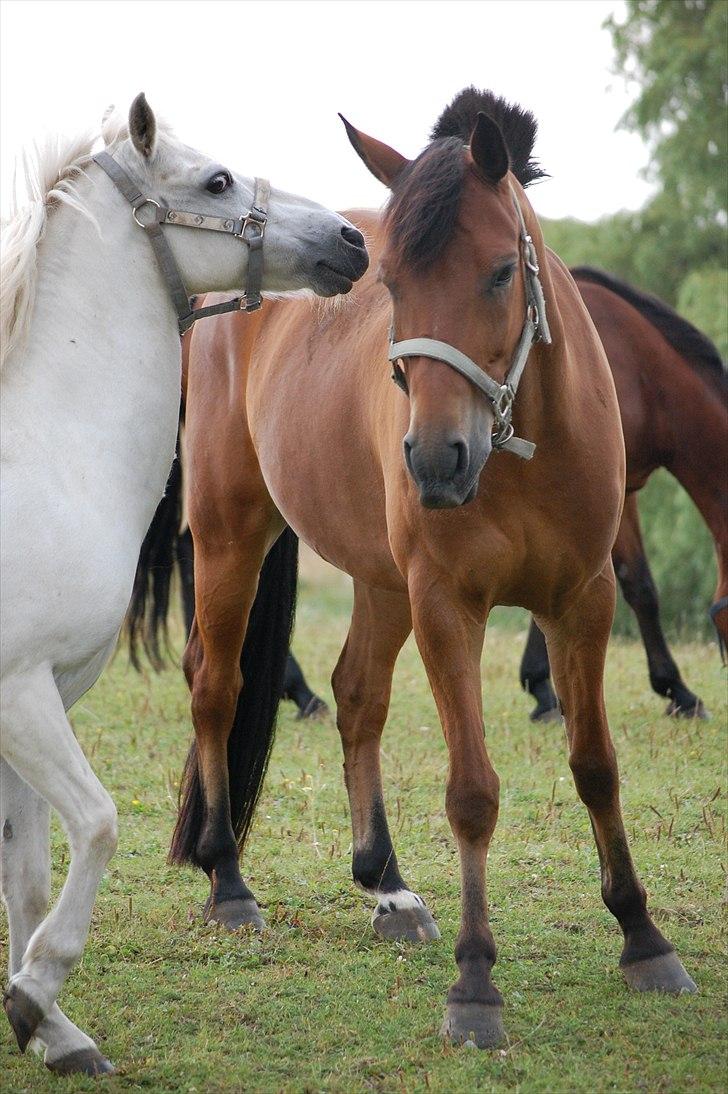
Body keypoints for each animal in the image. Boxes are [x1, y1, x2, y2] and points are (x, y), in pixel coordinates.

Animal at [0, 94, 365, 1076]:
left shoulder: (40, 705)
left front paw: (51, 1028)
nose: (352, 238)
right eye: (216, 180)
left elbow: (29, 874)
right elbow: (97, 825)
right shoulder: (19, 697)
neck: (49, 459)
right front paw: (38, 989)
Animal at [156, 91, 696, 1041]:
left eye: (500, 273)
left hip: (378, 582)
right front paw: (476, 984)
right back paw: (227, 878)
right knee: (215, 685)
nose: (437, 459)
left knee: (357, 696)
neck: (523, 446)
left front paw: (642, 935)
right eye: (396, 284)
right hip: (232, 536)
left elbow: (595, 764)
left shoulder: (582, 601)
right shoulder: (448, 605)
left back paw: (388, 884)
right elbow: (472, 792)